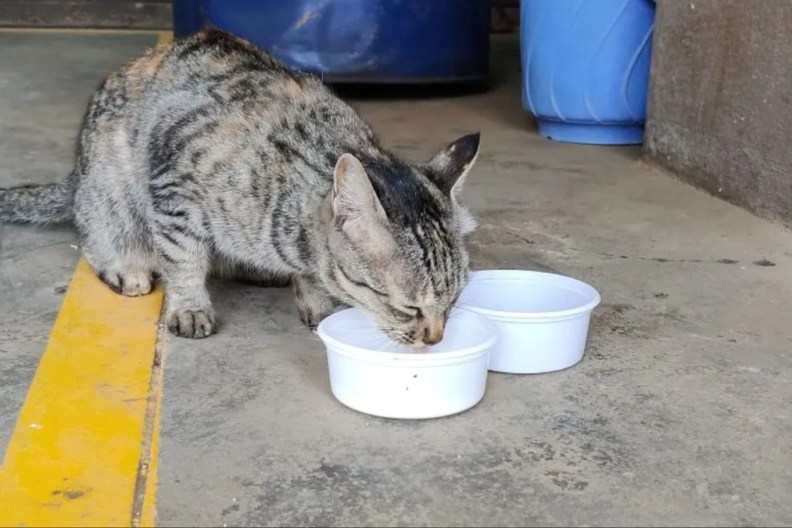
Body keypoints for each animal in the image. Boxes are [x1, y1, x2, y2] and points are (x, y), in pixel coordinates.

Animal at [0, 31, 480, 348]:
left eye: (455, 301)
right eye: (409, 308)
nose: (435, 339)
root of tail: (76, 174)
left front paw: (318, 303)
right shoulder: (173, 189)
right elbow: (183, 259)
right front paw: (189, 305)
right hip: (110, 188)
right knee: (100, 235)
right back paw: (127, 265)